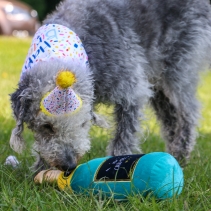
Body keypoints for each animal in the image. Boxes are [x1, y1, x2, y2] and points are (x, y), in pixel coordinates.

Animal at [10, 0, 211, 173]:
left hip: (177, 68)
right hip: (159, 81)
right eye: (46, 127)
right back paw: (174, 157)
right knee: (171, 118)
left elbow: (124, 136)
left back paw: (181, 154)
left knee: (188, 112)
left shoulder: (132, 90)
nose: (69, 165)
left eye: (83, 124)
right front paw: (41, 168)